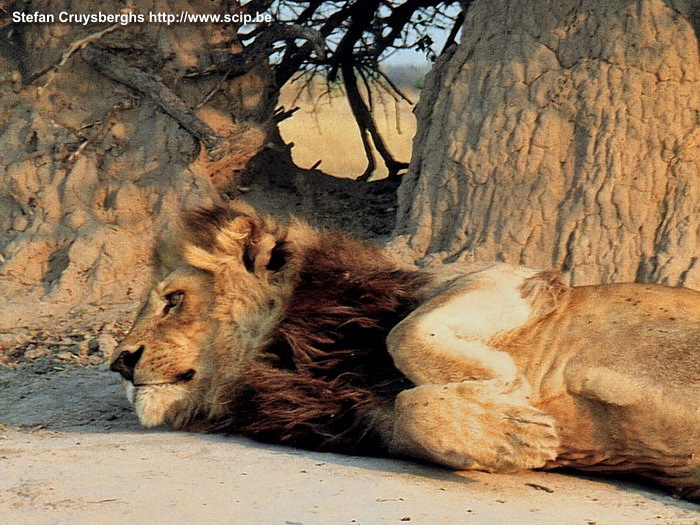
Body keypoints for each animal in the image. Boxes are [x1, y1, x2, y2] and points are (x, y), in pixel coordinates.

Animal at [110, 201, 700, 500]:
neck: (286, 351)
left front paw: (510, 393)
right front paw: (512, 430)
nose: (118, 361)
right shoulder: (376, 424)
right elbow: (412, 408)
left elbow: (404, 337)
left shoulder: (508, 276)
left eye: (173, 300)